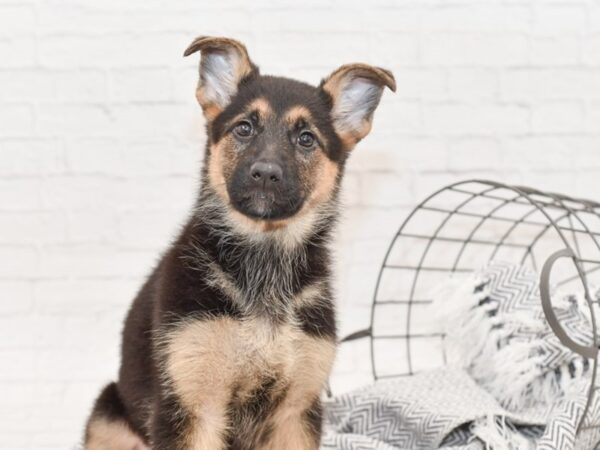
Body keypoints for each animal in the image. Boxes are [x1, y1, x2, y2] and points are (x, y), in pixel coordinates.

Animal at [83, 36, 394, 450]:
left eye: (306, 139)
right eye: (244, 128)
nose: (265, 174)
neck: (264, 254)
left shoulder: (296, 411)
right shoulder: (193, 406)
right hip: (108, 414)